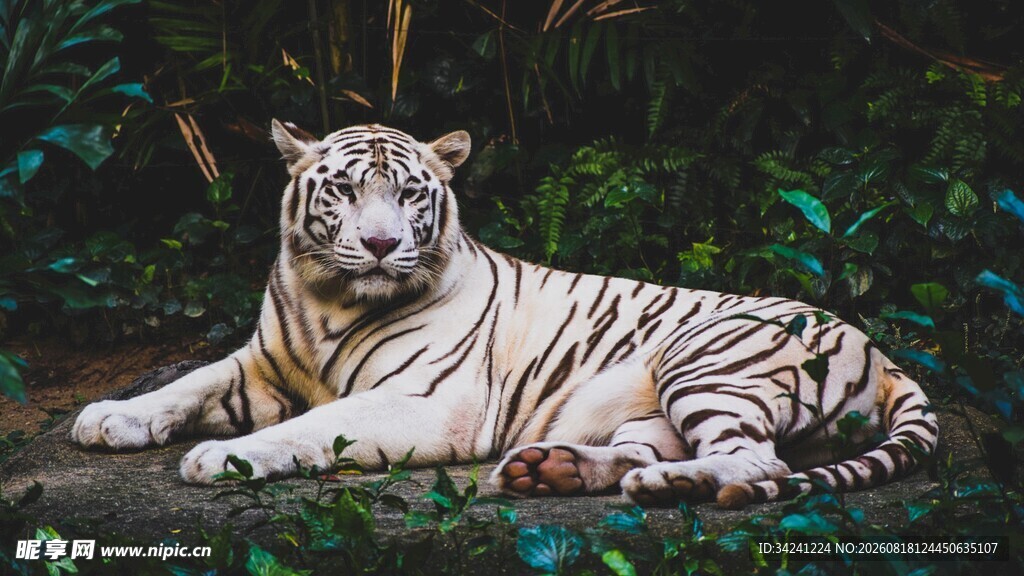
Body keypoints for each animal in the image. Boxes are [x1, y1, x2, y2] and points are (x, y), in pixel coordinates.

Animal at [71, 120, 938, 509]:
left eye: (409, 194)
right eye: (345, 190)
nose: (381, 245)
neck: (329, 299)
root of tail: (885, 355)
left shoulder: (426, 403)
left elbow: (310, 427)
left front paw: (222, 458)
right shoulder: (261, 362)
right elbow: (187, 382)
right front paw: (109, 417)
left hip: (705, 359)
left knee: (760, 463)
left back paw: (670, 485)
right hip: (651, 404)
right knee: (652, 448)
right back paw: (550, 469)